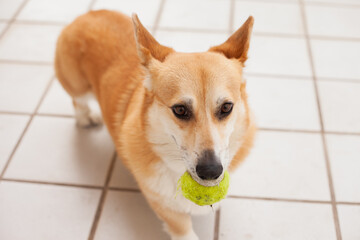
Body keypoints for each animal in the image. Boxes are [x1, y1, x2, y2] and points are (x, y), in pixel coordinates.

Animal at [54, 9, 256, 240]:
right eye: (180, 110)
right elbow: (181, 226)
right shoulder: (161, 203)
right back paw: (86, 117)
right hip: (76, 84)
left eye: (226, 107)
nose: (211, 171)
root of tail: (89, 14)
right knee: (77, 100)